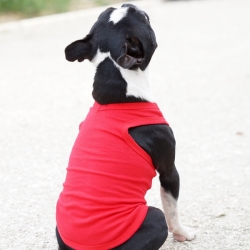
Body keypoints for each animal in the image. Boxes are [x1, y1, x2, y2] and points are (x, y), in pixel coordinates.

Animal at [56, 3, 195, 250]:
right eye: (141, 19)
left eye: (107, 12)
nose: (128, 4)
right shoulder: (169, 171)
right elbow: (172, 209)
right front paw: (182, 233)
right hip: (152, 218)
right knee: (160, 217)